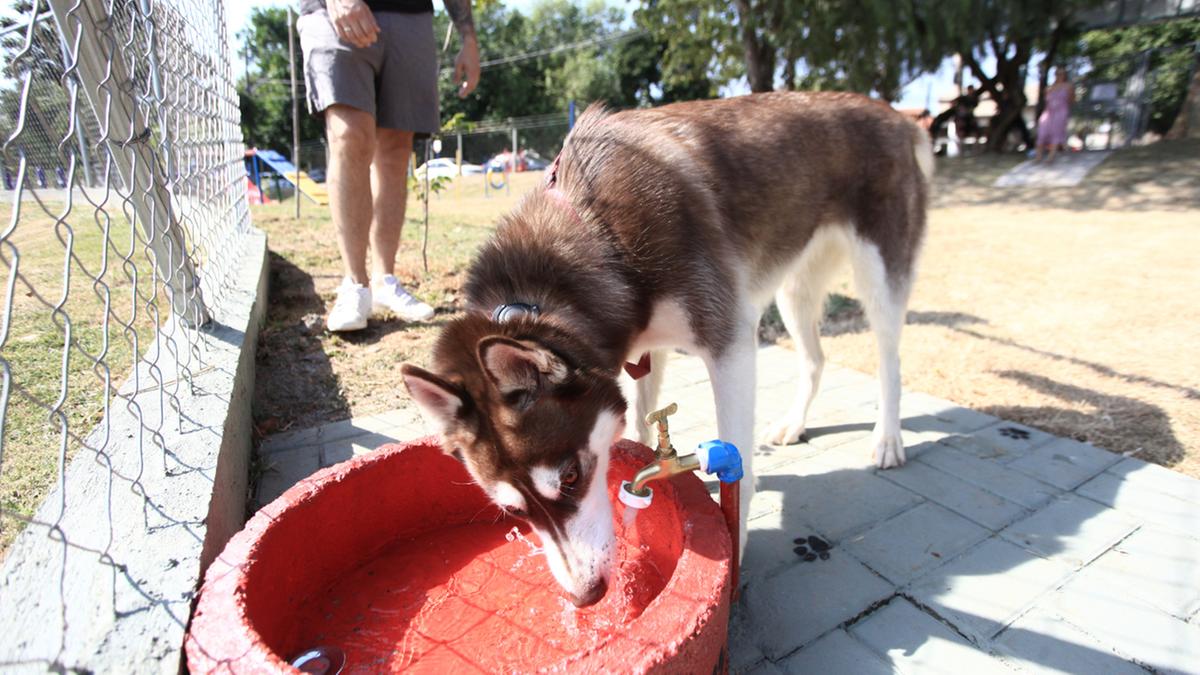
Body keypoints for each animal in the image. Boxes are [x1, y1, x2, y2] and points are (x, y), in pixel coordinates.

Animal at [398, 90, 931, 605]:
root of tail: (895, 115)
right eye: (515, 511)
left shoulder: (730, 340)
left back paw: (887, 439)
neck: (596, 231)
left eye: (570, 477)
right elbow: (641, 424)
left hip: (878, 278)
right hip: (794, 289)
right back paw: (795, 424)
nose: (585, 597)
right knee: (816, 359)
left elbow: (736, 456)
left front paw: (735, 548)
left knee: (891, 361)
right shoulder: (644, 348)